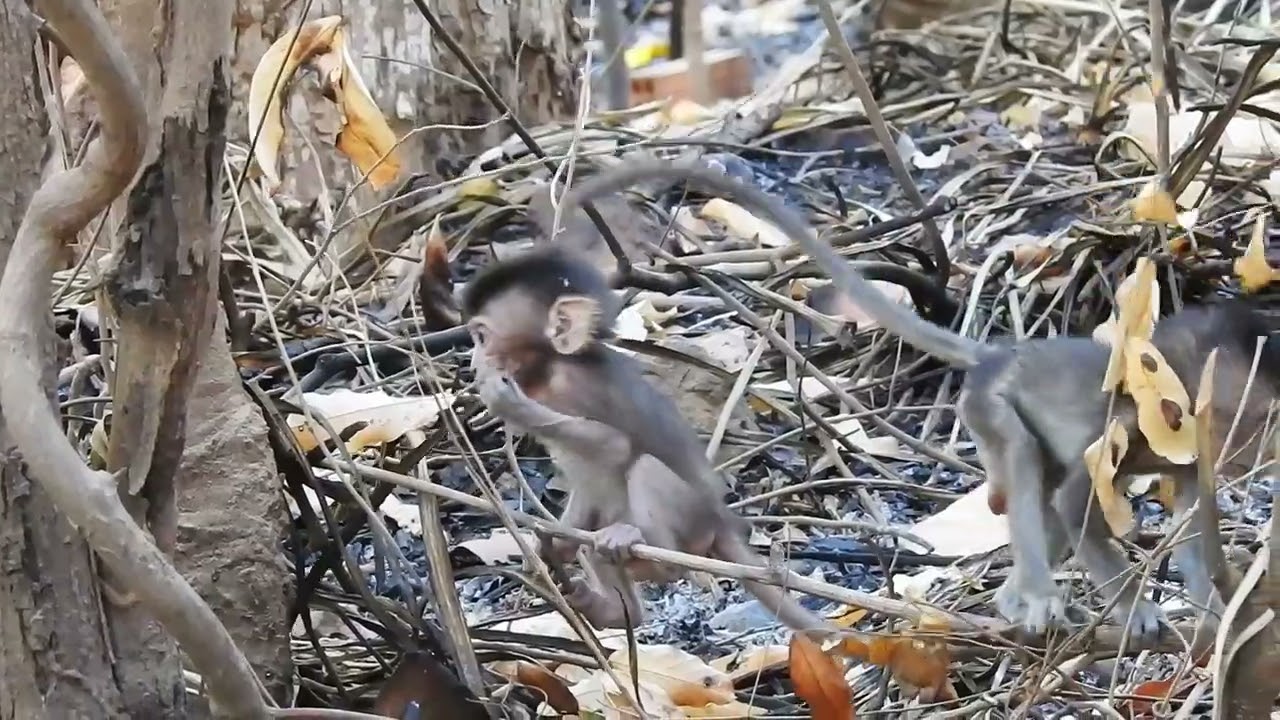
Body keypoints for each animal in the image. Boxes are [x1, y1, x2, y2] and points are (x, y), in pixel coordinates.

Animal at [462, 248, 833, 631]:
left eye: (482, 338)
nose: (473, 364)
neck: (549, 370)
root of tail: (719, 521)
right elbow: (584, 487)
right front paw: (556, 545)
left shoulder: (573, 388)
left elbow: (615, 447)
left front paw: (508, 403)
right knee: (598, 536)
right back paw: (615, 608)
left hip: (692, 518)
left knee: (646, 467)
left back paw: (655, 558)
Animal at [545, 156, 1279, 642]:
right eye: (1263, 416)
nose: (1258, 457)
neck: (1171, 393)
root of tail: (994, 353)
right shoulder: (1134, 425)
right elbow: (1080, 504)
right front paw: (1140, 608)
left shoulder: (1189, 460)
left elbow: (1188, 524)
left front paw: (1215, 618)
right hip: (989, 409)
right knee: (1029, 470)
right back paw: (1033, 601)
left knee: (1036, 493)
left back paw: (1013, 601)